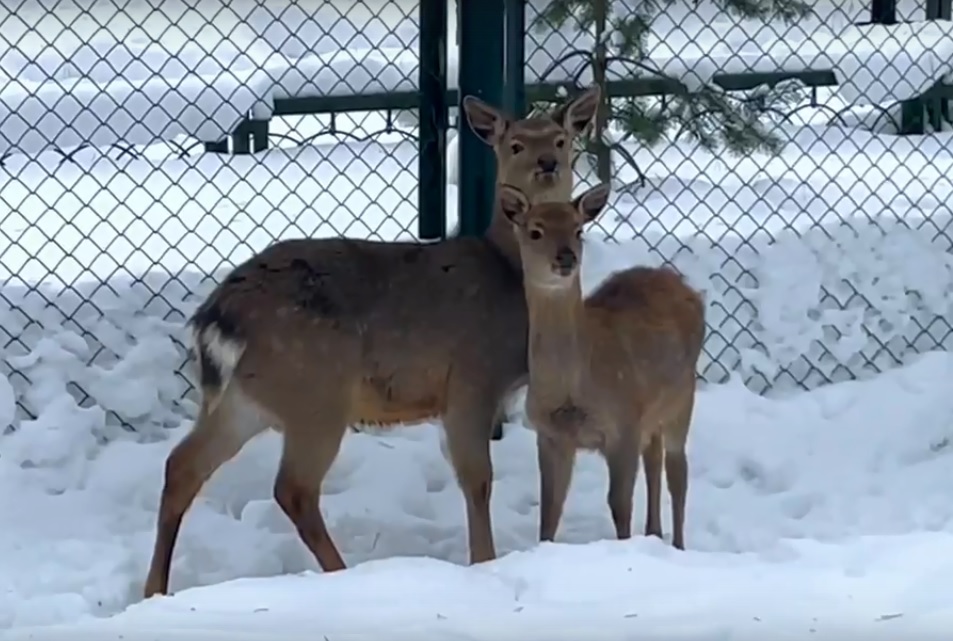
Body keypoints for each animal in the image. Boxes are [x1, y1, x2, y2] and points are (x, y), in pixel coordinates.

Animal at [142, 85, 600, 596]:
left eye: (561, 138)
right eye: (515, 144)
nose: (547, 163)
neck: (507, 273)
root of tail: (217, 315)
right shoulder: (471, 378)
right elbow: (477, 478)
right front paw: (484, 562)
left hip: (247, 397)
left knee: (182, 465)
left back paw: (153, 589)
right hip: (316, 389)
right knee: (293, 487)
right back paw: (342, 572)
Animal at [498, 181, 708, 552]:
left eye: (578, 230)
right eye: (535, 231)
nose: (566, 257)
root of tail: (687, 287)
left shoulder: (622, 422)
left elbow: (619, 503)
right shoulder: (551, 433)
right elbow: (550, 507)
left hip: (684, 397)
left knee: (677, 472)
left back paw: (678, 545)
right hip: (651, 412)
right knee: (654, 460)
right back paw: (654, 533)